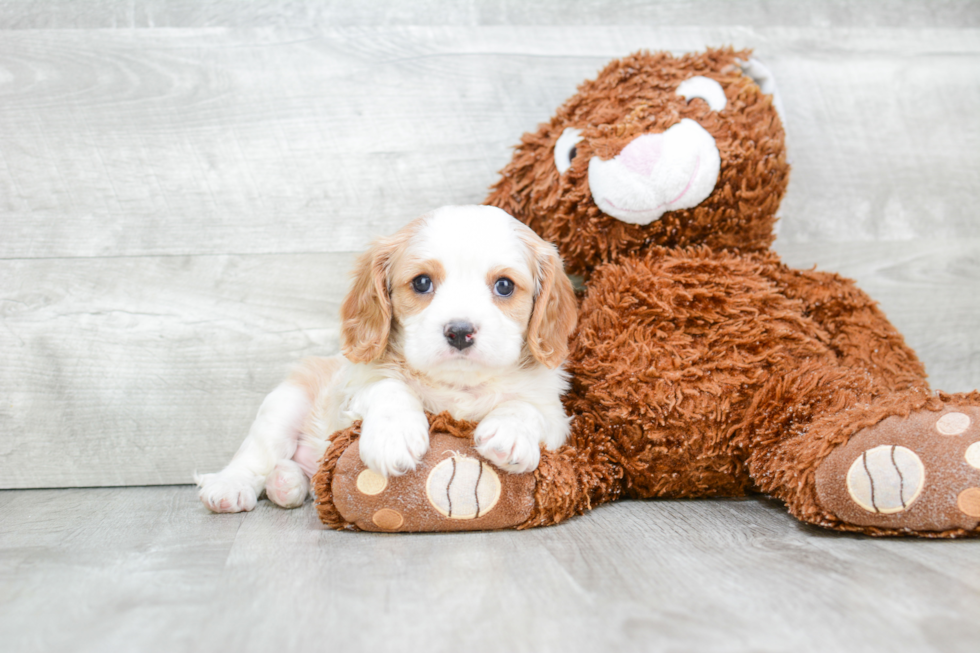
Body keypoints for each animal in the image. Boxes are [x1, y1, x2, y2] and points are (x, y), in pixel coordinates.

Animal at [200, 206, 580, 512]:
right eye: (422, 282)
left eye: (504, 286)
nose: (459, 331)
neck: (457, 384)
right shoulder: (355, 387)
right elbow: (389, 387)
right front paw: (394, 436)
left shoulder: (557, 419)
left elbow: (527, 407)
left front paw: (509, 431)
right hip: (286, 402)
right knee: (258, 453)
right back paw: (232, 486)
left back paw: (286, 482)